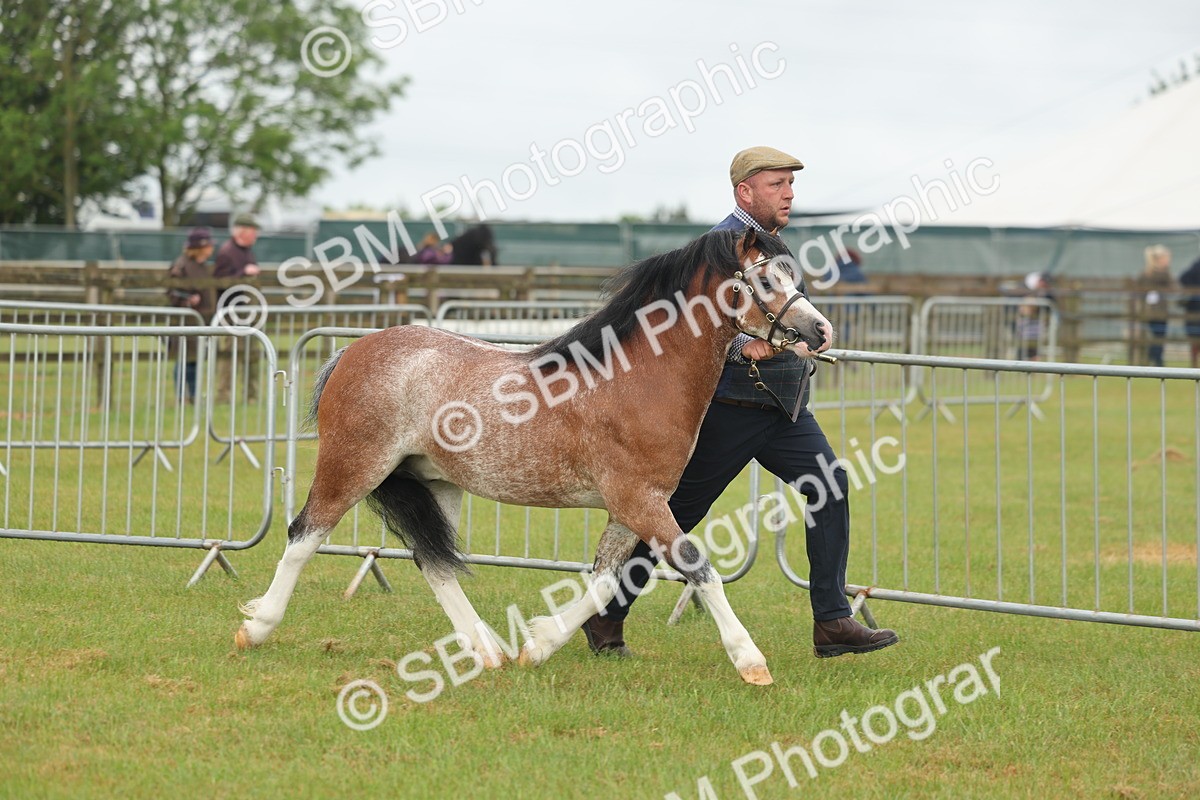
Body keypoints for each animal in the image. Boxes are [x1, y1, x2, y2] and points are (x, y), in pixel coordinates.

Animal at [235, 228, 833, 685]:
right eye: (765, 279)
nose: (819, 330)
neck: (636, 379)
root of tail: (353, 350)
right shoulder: (638, 500)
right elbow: (697, 567)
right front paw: (751, 662)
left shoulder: (633, 507)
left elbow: (603, 582)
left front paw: (539, 645)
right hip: (353, 465)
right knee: (304, 534)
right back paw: (256, 627)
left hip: (435, 482)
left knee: (433, 561)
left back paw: (487, 650)